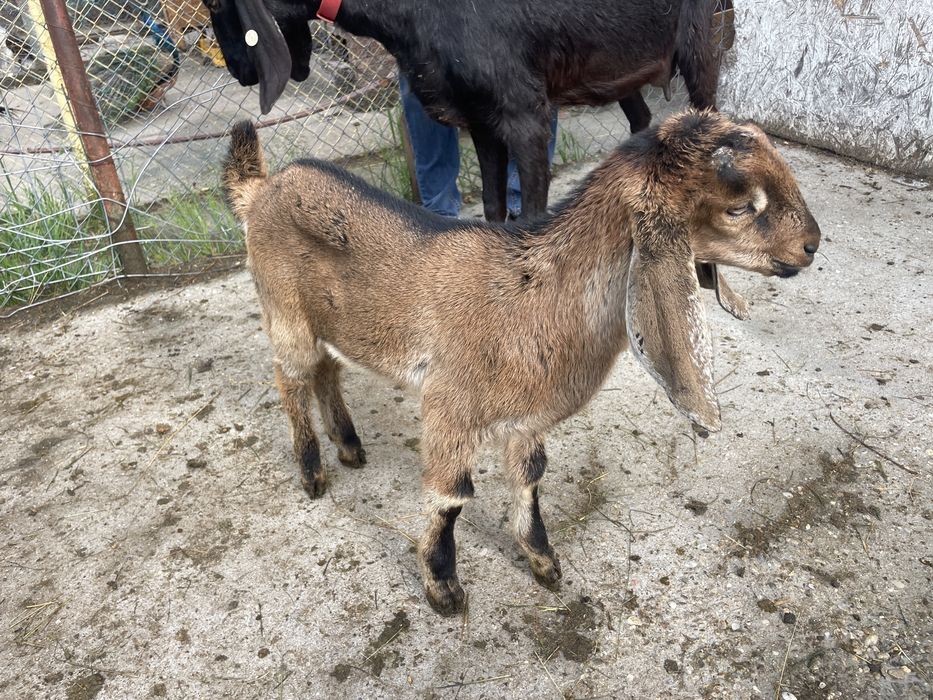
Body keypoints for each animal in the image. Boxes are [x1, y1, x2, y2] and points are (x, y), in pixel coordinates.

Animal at [224, 110, 821, 614]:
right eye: (739, 208)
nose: (813, 245)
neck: (531, 298)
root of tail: (260, 189)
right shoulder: (449, 405)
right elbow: (449, 497)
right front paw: (443, 588)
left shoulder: (525, 421)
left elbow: (530, 479)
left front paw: (543, 562)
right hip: (285, 312)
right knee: (291, 377)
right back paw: (313, 471)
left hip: (327, 322)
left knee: (327, 370)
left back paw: (349, 446)